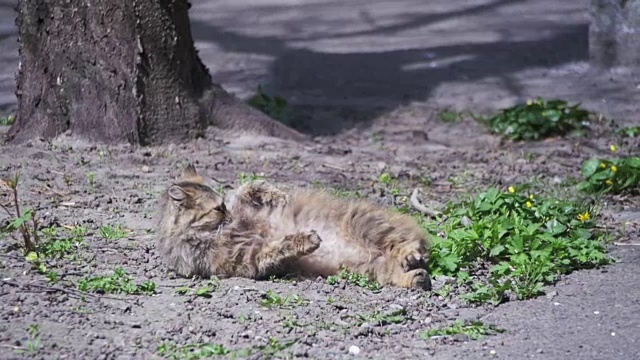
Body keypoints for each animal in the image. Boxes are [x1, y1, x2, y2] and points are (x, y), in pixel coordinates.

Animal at [157, 163, 432, 290]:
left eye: (222, 205)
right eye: (216, 209)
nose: (227, 215)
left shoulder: (242, 206)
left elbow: (248, 186)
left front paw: (276, 194)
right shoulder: (247, 259)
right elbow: (279, 246)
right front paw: (307, 239)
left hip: (369, 226)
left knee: (409, 244)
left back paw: (411, 257)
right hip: (368, 268)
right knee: (397, 270)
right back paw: (416, 277)